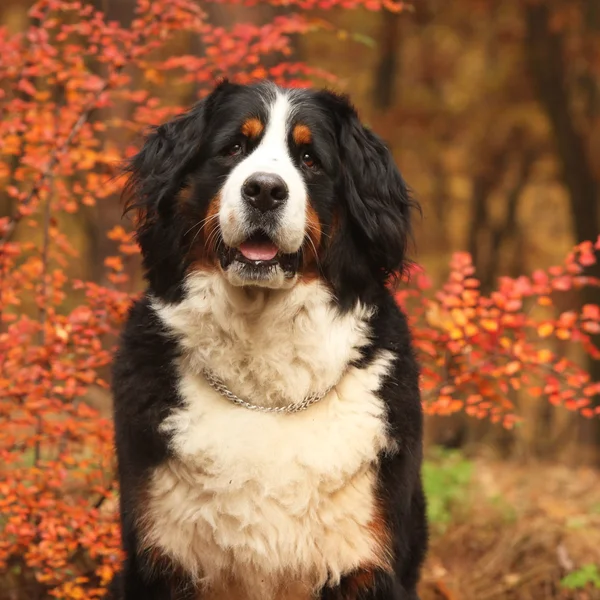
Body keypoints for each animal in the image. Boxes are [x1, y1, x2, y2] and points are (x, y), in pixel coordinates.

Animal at [109, 81, 426, 600]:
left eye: (310, 159)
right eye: (233, 148)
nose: (263, 190)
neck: (266, 393)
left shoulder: (366, 564)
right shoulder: (162, 558)